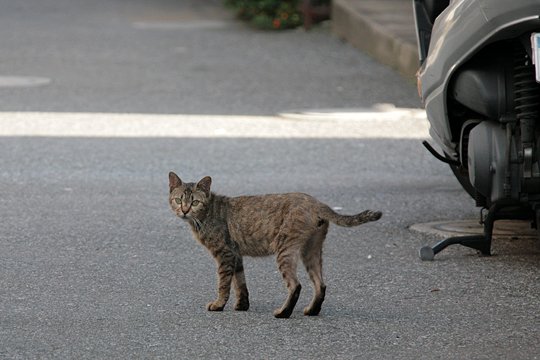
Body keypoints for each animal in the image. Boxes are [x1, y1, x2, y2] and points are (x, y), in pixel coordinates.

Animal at [167, 172, 382, 318]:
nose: (184, 210)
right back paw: (312, 310)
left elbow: (224, 284)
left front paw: (219, 305)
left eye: (195, 202)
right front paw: (242, 305)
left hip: (285, 250)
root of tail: (317, 202)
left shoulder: (224, 254)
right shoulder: (236, 255)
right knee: (320, 285)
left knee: (296, 285)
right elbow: (240, 283)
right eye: (178, 200)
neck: (206, 214)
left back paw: (283, 313)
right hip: (310, 251)